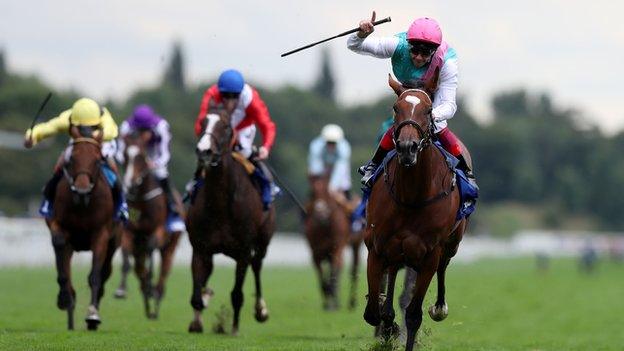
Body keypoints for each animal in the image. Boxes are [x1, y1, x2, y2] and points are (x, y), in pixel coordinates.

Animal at [46, 128, 118, 332]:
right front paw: (65, 298)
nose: (82, 190)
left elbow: (95, 276)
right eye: (72, 159)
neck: (82, 205)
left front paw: (92, 315)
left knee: (104, 272)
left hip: (114, 243)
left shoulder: (101, 234)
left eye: (97, 159)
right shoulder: (58, 225)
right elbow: (61, 260)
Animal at [115, 131, 182, 320]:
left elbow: (152, 250)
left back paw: (156, 296)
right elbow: (126, 259)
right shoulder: (128, 232)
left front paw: (151, 287)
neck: (141, 200)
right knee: (139, 267)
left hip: (170, 245)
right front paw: (121, 289)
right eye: (125, 156)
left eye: (141, 156)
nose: (130, 184)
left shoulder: (158, 230)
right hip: (139, 248)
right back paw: (146, 292)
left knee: (164, 269)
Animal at [184, 104, 274, 336]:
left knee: (257, 266)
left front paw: (234, 328)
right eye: (203, 122)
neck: (220, 204)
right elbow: (196, 295)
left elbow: (237, 294)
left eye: (225, 126)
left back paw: (261, 309)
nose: (204, 151)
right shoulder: (200, 248)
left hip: (262, 242)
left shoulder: (244, 251)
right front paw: (197, 319)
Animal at [304, 175, 360, 310]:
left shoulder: (337, 247)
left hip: (356, 244)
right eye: (313, 193)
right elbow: (321, 276)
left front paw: (334, 302)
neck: (325, 226)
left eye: (326, 192)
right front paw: (327, 301)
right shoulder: (315, 252)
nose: (321, 214)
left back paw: (352, 302)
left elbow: (334, 271)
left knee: (353, 269)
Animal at [360, 75, 468, 350]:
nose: (407, 147)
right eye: (395, 107)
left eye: (428, 110)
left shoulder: (429, 255)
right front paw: (388, 328)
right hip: (395, 253)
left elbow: (413, 314)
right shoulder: (377, 248)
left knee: (443, 267)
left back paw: (439, 307)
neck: (411, 196)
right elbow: (374, 312)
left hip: (450, 245)